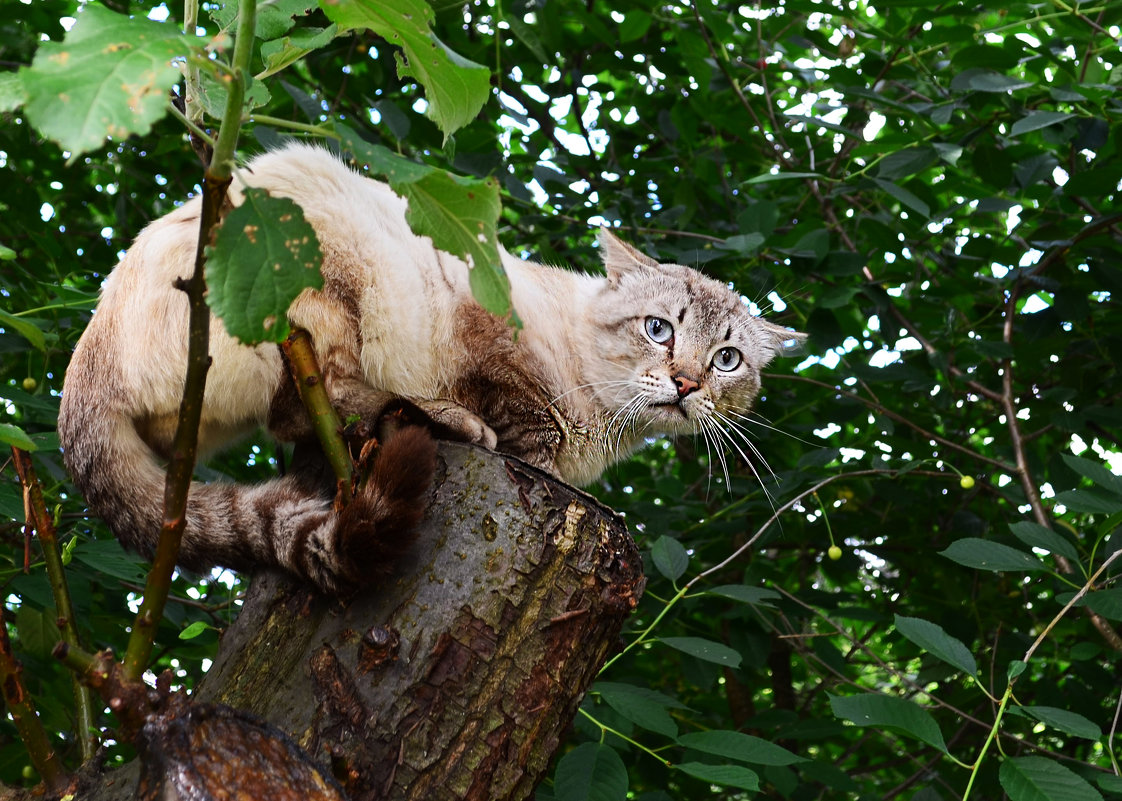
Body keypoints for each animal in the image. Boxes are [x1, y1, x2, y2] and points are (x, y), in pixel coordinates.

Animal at [56, 143, 803, 592]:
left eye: (727, 360)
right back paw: (445, 419)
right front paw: (531, 453)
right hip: (324, 266)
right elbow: (527, 421)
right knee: (312, 403)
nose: (686, 383)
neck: (606, 427)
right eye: (659, 329)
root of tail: (88, 350)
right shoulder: (484, 326)